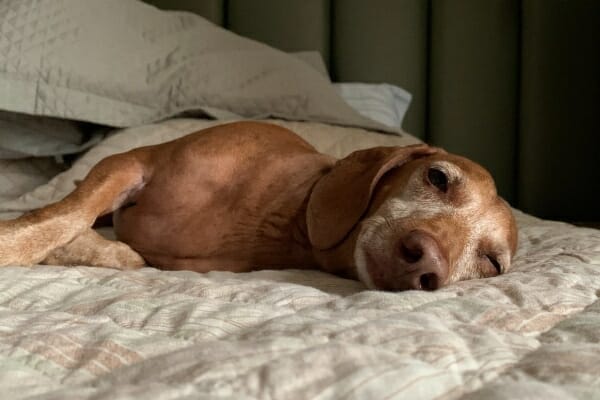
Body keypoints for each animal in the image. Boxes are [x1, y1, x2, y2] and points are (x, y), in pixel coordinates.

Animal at [0, 122, 516, 290]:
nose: (426, 262)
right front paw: (16, 244)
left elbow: (87, 235)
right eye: (438, 177)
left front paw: (101, 251)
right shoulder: (129, 162)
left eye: (492, 263)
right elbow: (65, 215)